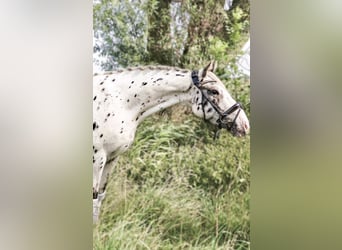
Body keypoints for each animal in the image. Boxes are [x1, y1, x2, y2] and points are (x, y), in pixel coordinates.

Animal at [92, 60, 250, 223]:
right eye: (214, 91)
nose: (245, 125)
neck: (120, 101)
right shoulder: (98, 158)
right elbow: (94, 198)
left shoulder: (113, 157)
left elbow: (100, 197)